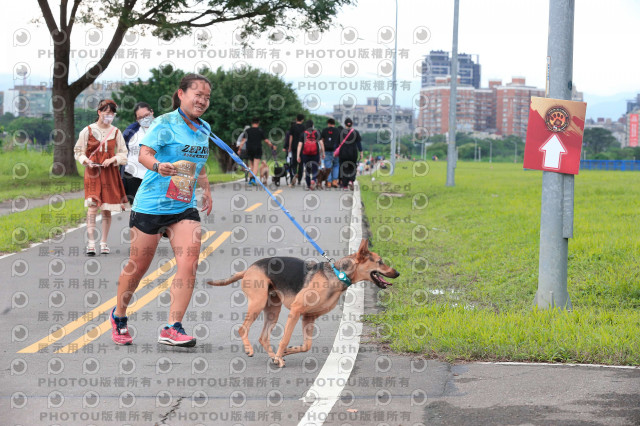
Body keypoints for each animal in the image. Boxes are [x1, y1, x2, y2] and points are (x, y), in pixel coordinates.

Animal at [208, 238, 398, 368]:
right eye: (380, 262)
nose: (397, 273)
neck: (338, 274)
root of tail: (249, 268)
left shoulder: (309, 317)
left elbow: (306, 345)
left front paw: (286, 352)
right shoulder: (296, 311)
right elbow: (285, 339)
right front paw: (281, 354)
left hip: (273, 310)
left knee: (263, 337)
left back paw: (273, 356)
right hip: (258, 303)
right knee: (242, 329)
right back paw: (252, 350)